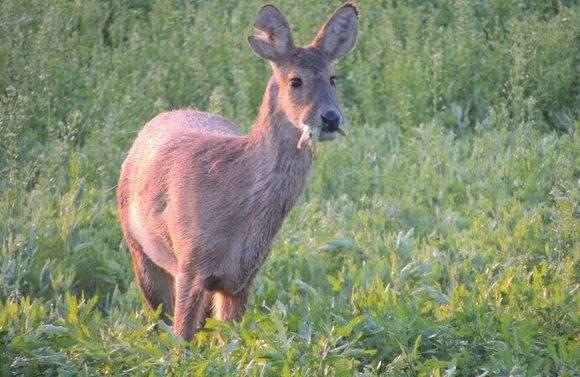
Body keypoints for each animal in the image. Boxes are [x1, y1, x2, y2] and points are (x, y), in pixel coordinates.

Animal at [116, 2, 358, 340]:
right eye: (295, 80)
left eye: (333, 78)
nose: (331, 118)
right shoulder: (190, 263)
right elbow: (181, 339)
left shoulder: (242, 278)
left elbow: (228, 341)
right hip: (138, 247)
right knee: (157, 318)